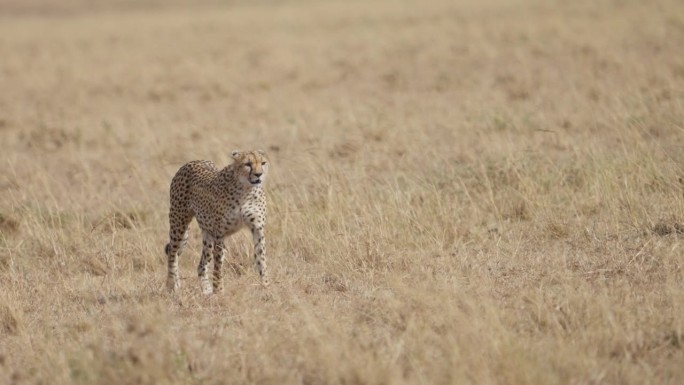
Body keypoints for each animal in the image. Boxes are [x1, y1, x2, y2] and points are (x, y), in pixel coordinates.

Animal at [165, 148, 270, 292]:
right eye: (247, 164)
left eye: (263, 163)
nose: (259, 174)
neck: (246, 189)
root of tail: (192, 162)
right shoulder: (220, 233)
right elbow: (219, 264)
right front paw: (219, 289)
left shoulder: (257, 228)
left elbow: (261, 258)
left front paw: (266, 286)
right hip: (179, 224)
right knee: (172, 253)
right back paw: (172, 285)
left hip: (207, 235)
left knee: (201, 265)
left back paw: (206, 291)